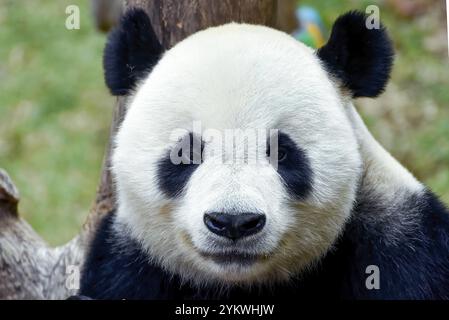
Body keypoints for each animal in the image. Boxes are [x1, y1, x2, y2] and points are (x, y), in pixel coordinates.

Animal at [78, 9, 449, 300]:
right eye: (186, 152)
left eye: (282, 153)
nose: (233, 222)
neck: (242, 284)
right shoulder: (127, 264)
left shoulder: (402, 247)